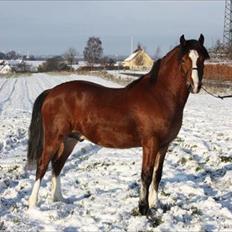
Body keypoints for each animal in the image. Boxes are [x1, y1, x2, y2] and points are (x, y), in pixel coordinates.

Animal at [27, 35, 210, 216]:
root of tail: (51, 92)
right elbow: (146, 175)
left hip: (69, 140)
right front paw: (143, 208)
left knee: (57, 165)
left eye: (201, 58)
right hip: (54, 138)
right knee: (42, 165)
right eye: (183, 60)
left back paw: (59, 198)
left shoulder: (164, 146)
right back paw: (33, 204)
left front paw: (155, 203)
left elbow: (158, 174)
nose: (195, 85)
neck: (160, 96)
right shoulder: (150, 144)